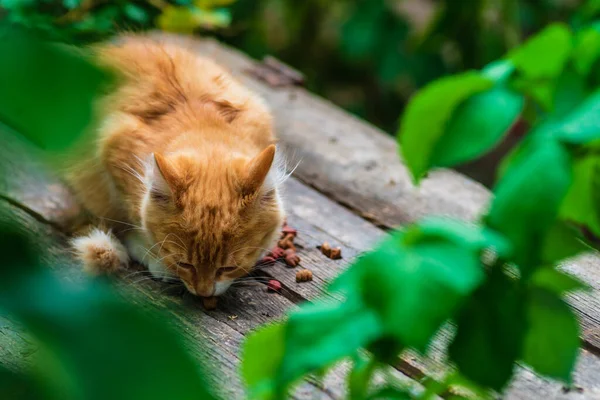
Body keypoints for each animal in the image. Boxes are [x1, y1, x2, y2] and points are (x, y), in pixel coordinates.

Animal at [67, 35, 288, 296]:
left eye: (228, 268)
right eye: (185, 264)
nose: (203, 293)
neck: (201, 122)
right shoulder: (111, 145)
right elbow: (137, 223)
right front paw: (155, 257)